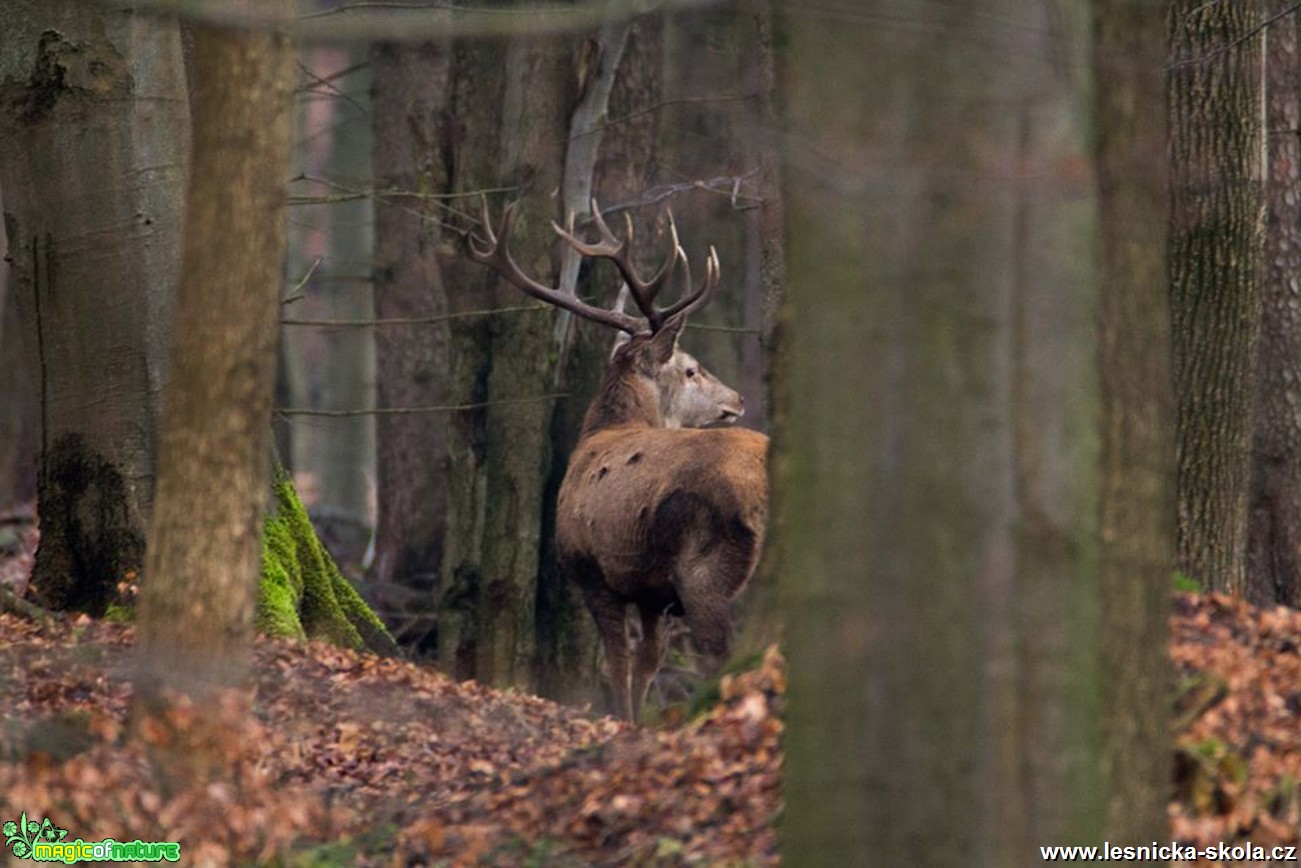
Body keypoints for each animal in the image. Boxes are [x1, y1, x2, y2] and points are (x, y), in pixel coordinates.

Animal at [468, 200, 764, 723]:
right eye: (691, 369)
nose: (737, 398)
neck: (603, 431)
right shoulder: (639, 587)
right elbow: (643, 662)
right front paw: (633, 717)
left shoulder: (590, 568)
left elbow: (620, 662)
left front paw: (625, 719)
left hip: (705, 569)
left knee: (723, 651)